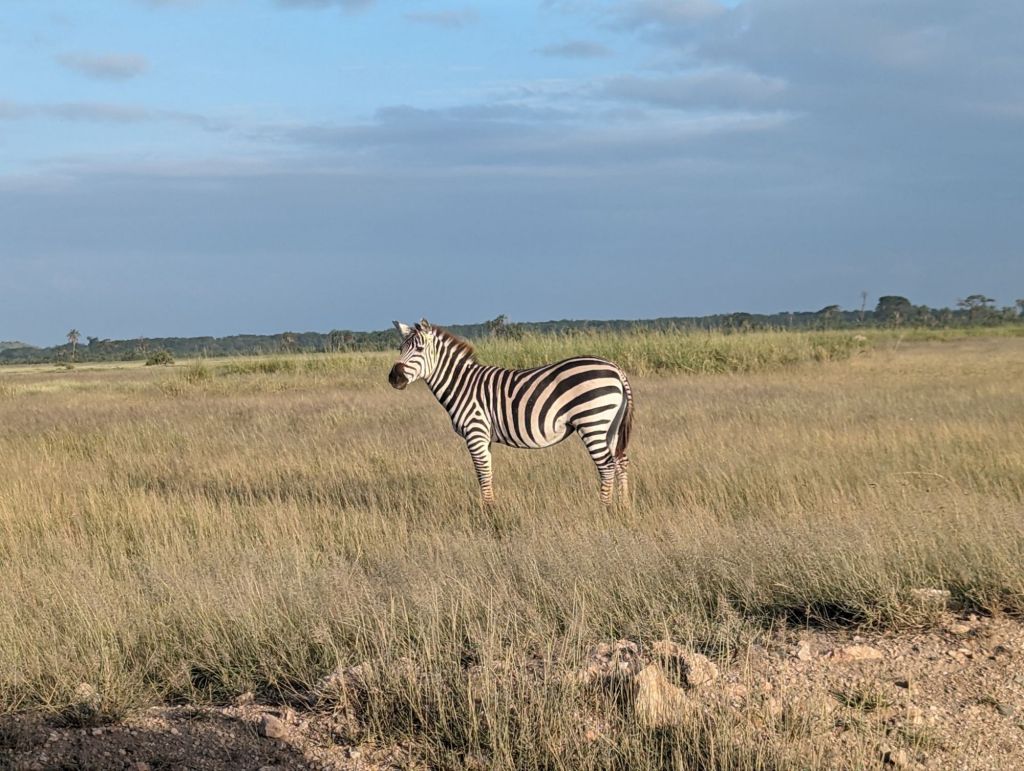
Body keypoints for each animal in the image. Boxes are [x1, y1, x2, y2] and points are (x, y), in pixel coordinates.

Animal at [388, 319, 633, 505]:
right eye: (400, 349)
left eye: (419, 349)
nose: (394, 378)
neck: (462, 384)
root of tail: (615, 367)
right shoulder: (484, 436)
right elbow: (487, 471)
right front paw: (491, 507)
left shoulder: (475, 431)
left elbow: (482, 472)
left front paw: (488, 512)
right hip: (610, 425)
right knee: (620, 461)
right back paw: (623, 506)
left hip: (592, 421)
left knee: (606, 465)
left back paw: (604, 508)